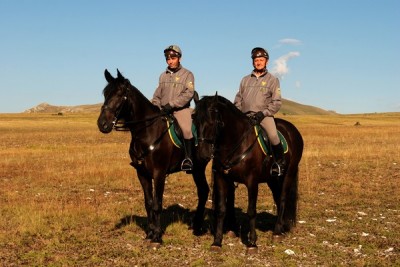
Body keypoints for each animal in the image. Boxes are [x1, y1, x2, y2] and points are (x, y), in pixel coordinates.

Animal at [97, 69, 209, 247]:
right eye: (105, 94)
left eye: (120, 94)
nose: (102, 124)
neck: (147, 132)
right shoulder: (142, 174)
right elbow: (148, 203)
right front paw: (149, 233)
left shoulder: (159, 173)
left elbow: (157, 204)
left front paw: (157, 236)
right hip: (197, 170)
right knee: (203, 191)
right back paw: (196, 224)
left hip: (199, 168)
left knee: (204, 191)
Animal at [192, 94, 302, 253]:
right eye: (194, 120)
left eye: (212, 122)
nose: (203, 154)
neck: (236, 144)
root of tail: (292, 129)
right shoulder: (221, 178)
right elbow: (221, 210)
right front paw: (217, 242)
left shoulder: (252, 182)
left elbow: (251, 211)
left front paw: (252, 243)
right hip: (273, 179)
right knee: (277, 197)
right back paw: (280, 227)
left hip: (288, 174)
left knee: (282, 199)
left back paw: (276, 232)